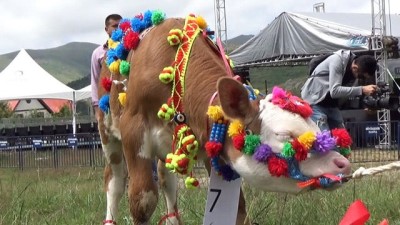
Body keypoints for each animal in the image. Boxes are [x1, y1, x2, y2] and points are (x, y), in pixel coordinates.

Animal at [115, 17, 350, 225]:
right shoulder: (132, 130)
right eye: (283, 135)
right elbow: (142, 200)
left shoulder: (212, 145)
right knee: (115, 182)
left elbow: (238, 208)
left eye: (316, 126)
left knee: (167, 182)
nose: (343, 163)